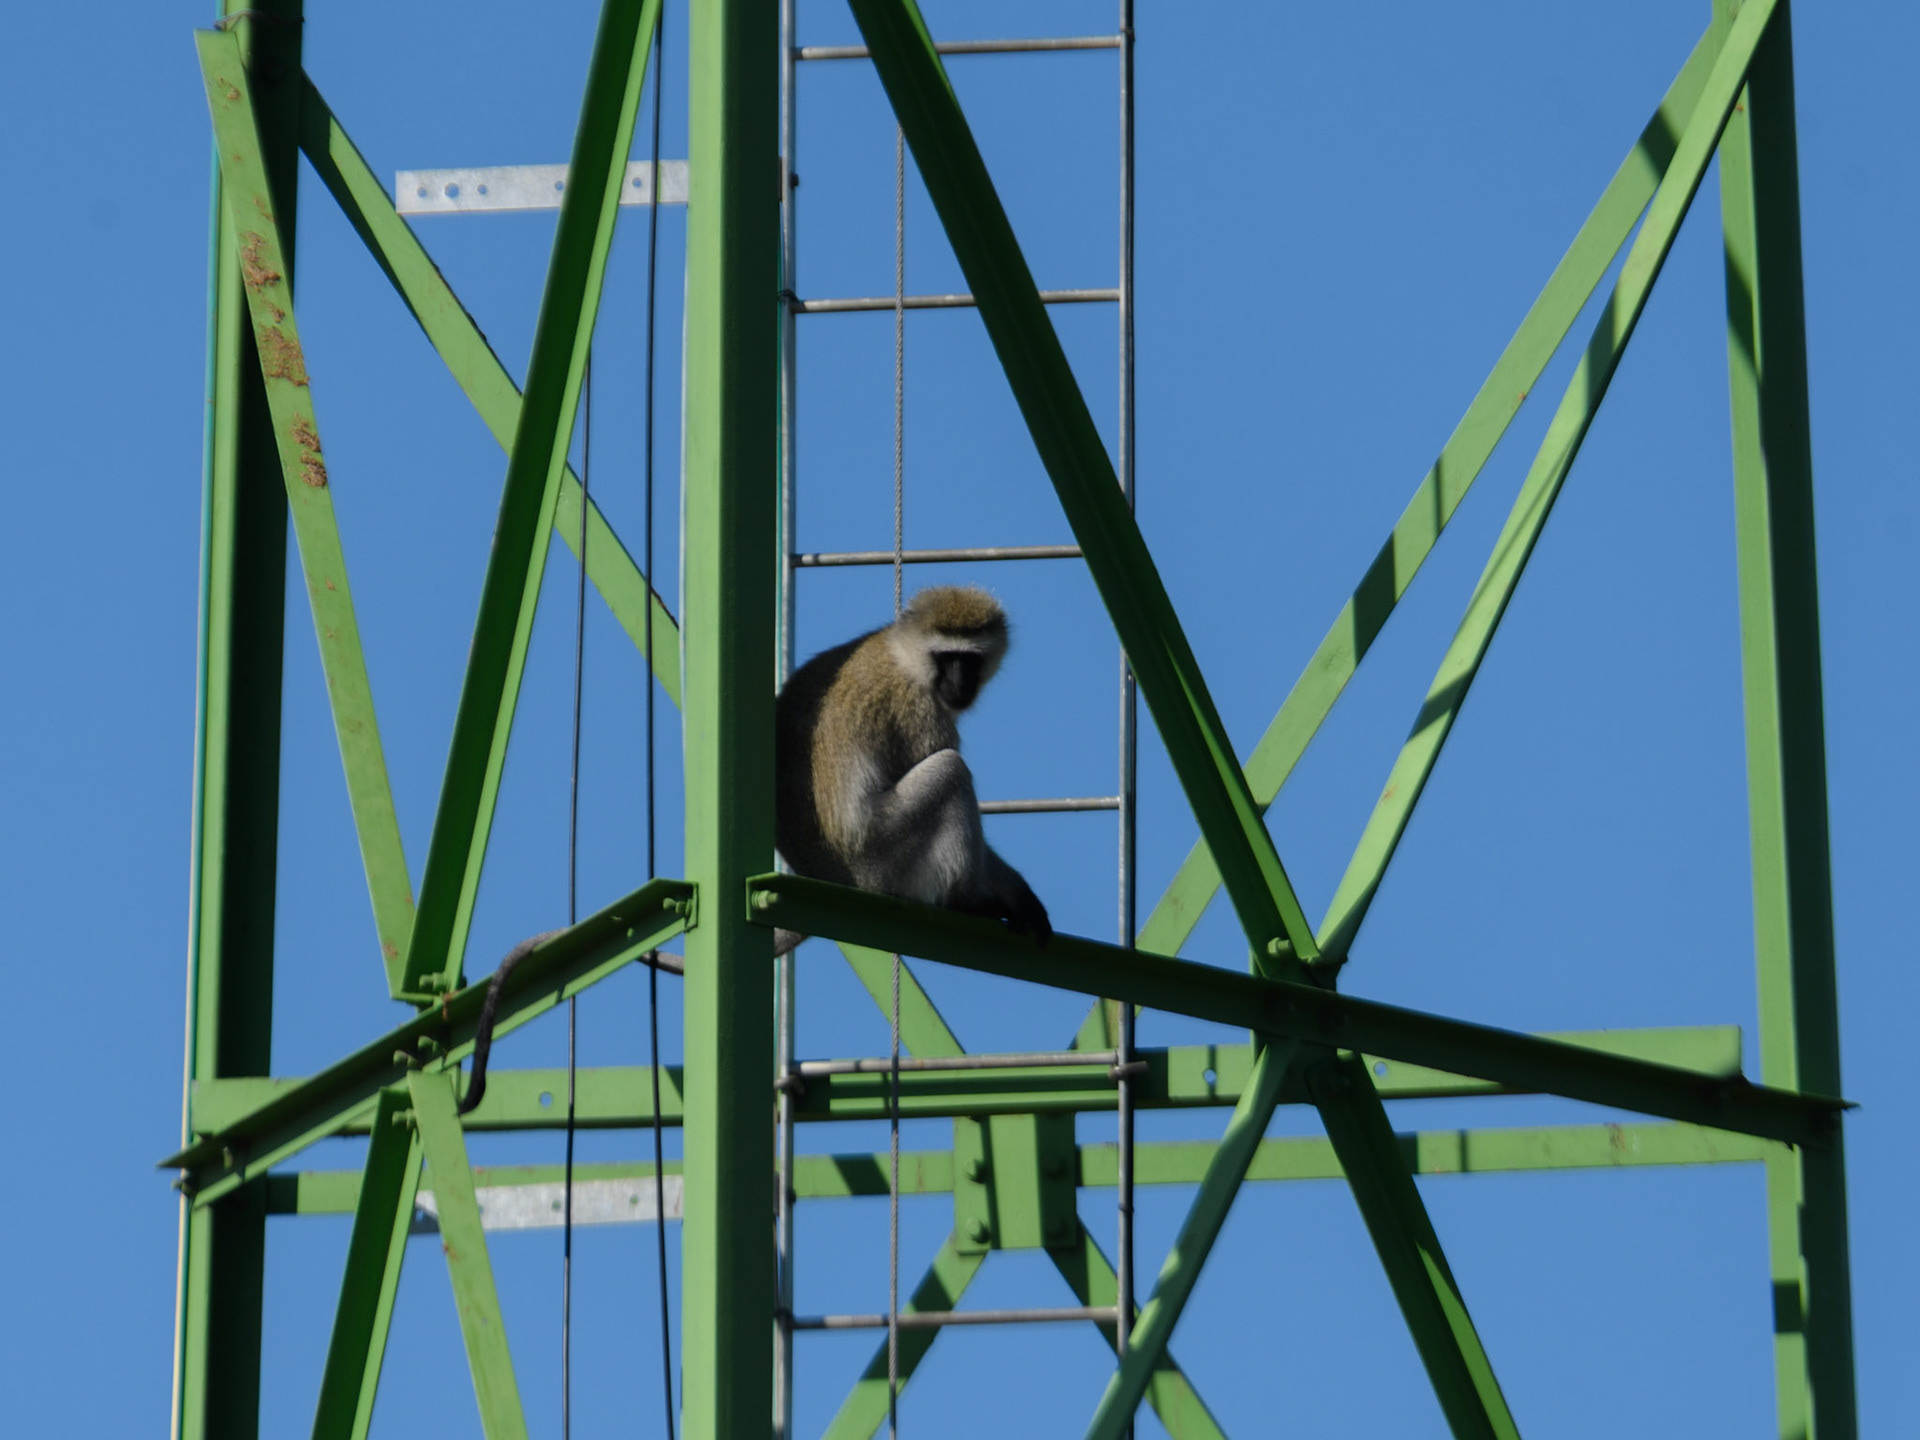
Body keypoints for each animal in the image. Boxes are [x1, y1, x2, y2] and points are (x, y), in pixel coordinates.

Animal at [774, 584, 1051, 950]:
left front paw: (1020, 894)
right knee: (950, 770)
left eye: (969, 660)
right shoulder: (920, 714)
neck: (905, 659)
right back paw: (968, 900)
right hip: (883, 859)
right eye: (946, 658)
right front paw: (1000, 897)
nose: (960, 683)